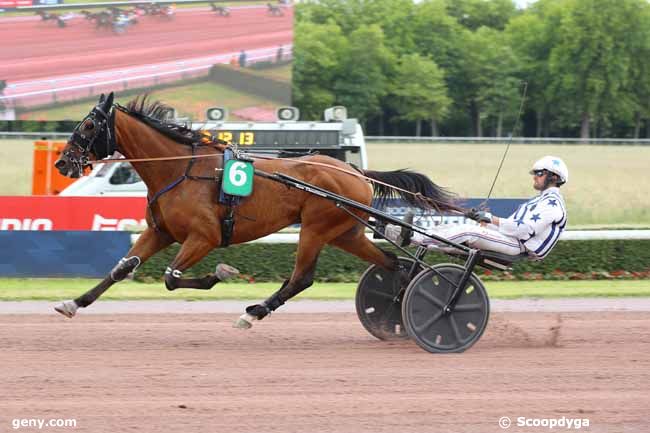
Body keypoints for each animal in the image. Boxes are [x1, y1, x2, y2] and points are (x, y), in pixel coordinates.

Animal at [54, 92, 460, 328]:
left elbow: (171, 276)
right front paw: (73, 302)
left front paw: (220, 273)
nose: (62, 163)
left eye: (88, 125)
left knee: (302, 278)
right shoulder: (161, 231)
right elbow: (121, 269)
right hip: (345, 232)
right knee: (393, 264)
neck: (180, 168)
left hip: (315, 228)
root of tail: (355, 172)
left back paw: (254, 312)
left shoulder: (204, 236)